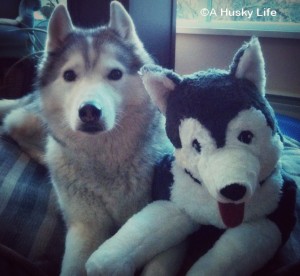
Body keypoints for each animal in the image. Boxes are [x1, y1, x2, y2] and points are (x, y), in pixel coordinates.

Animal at [0, 1, 183, 274]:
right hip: (27, 121)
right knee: (15, 128)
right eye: (69, 75)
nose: (89, 111)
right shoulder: (86, 227)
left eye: (115, 74)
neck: (106, 164)